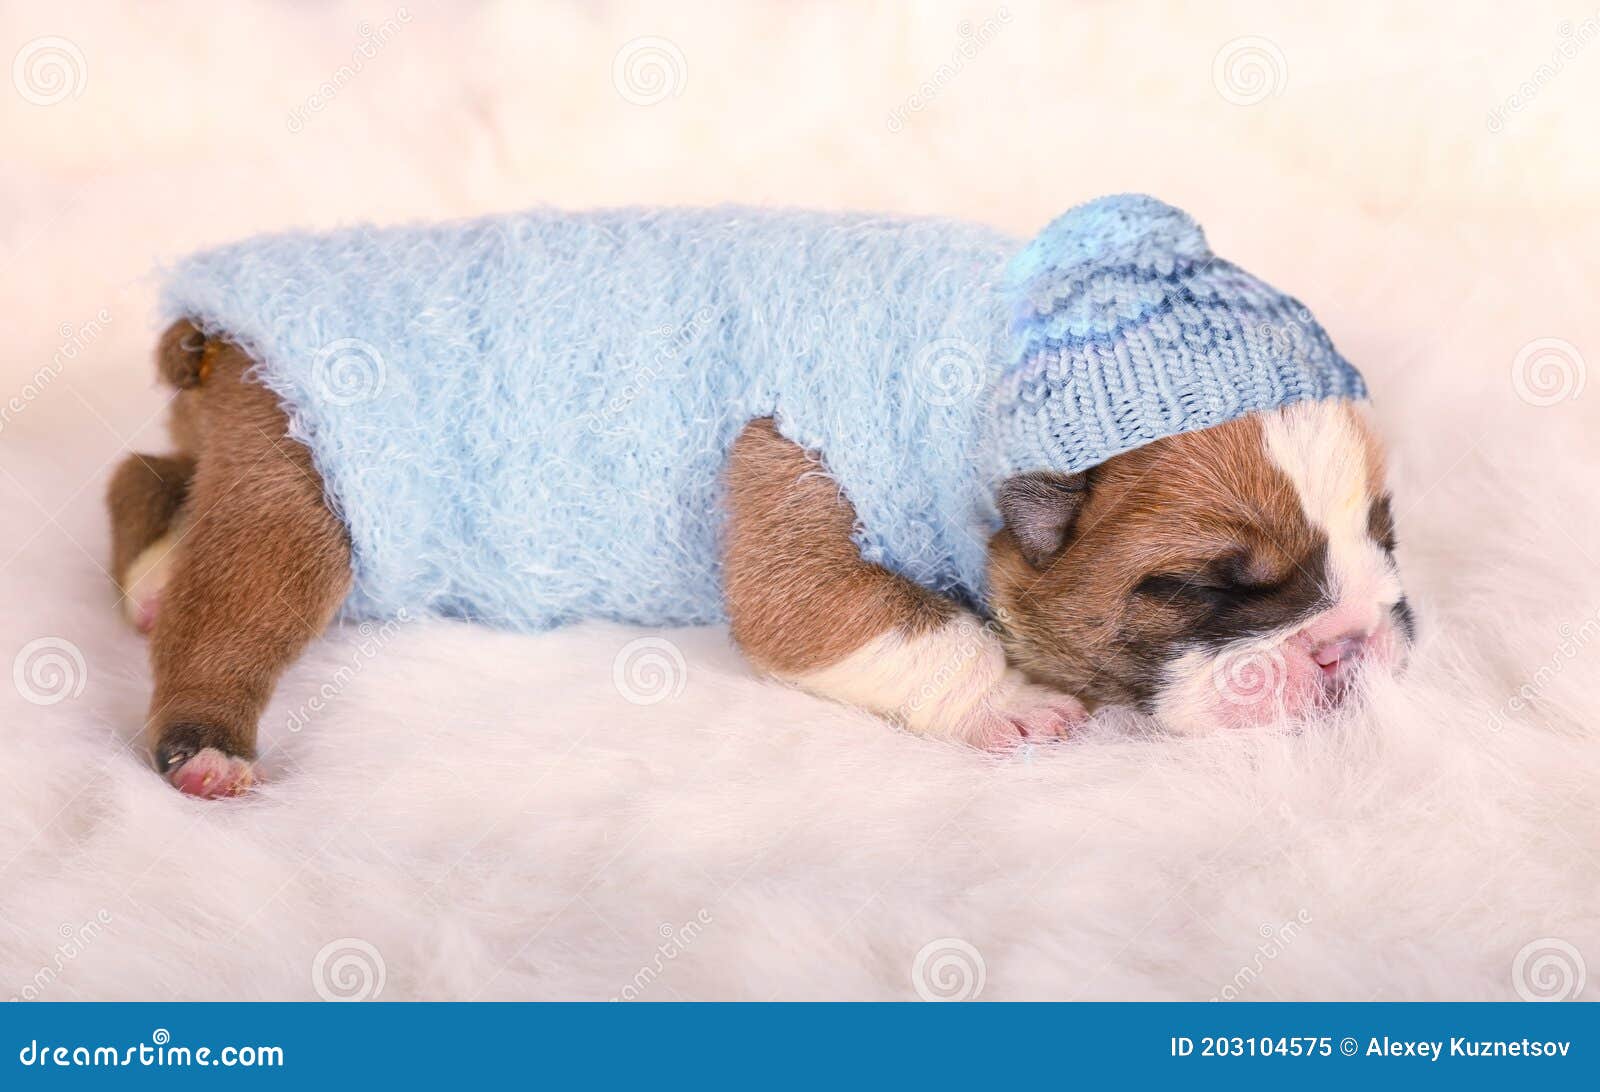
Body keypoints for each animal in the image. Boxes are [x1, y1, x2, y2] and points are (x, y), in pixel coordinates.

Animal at [106, 195, 1414, 790]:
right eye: (1202, 586)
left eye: (1382, 535)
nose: (1352, 642)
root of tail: (215, 336)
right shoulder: (796, 481)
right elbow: (881, 621)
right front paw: (1008, 705)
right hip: (304, 481)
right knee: (242, 583)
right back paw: (204, 739)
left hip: (252, 443)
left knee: (143, 473)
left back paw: (153, 577)